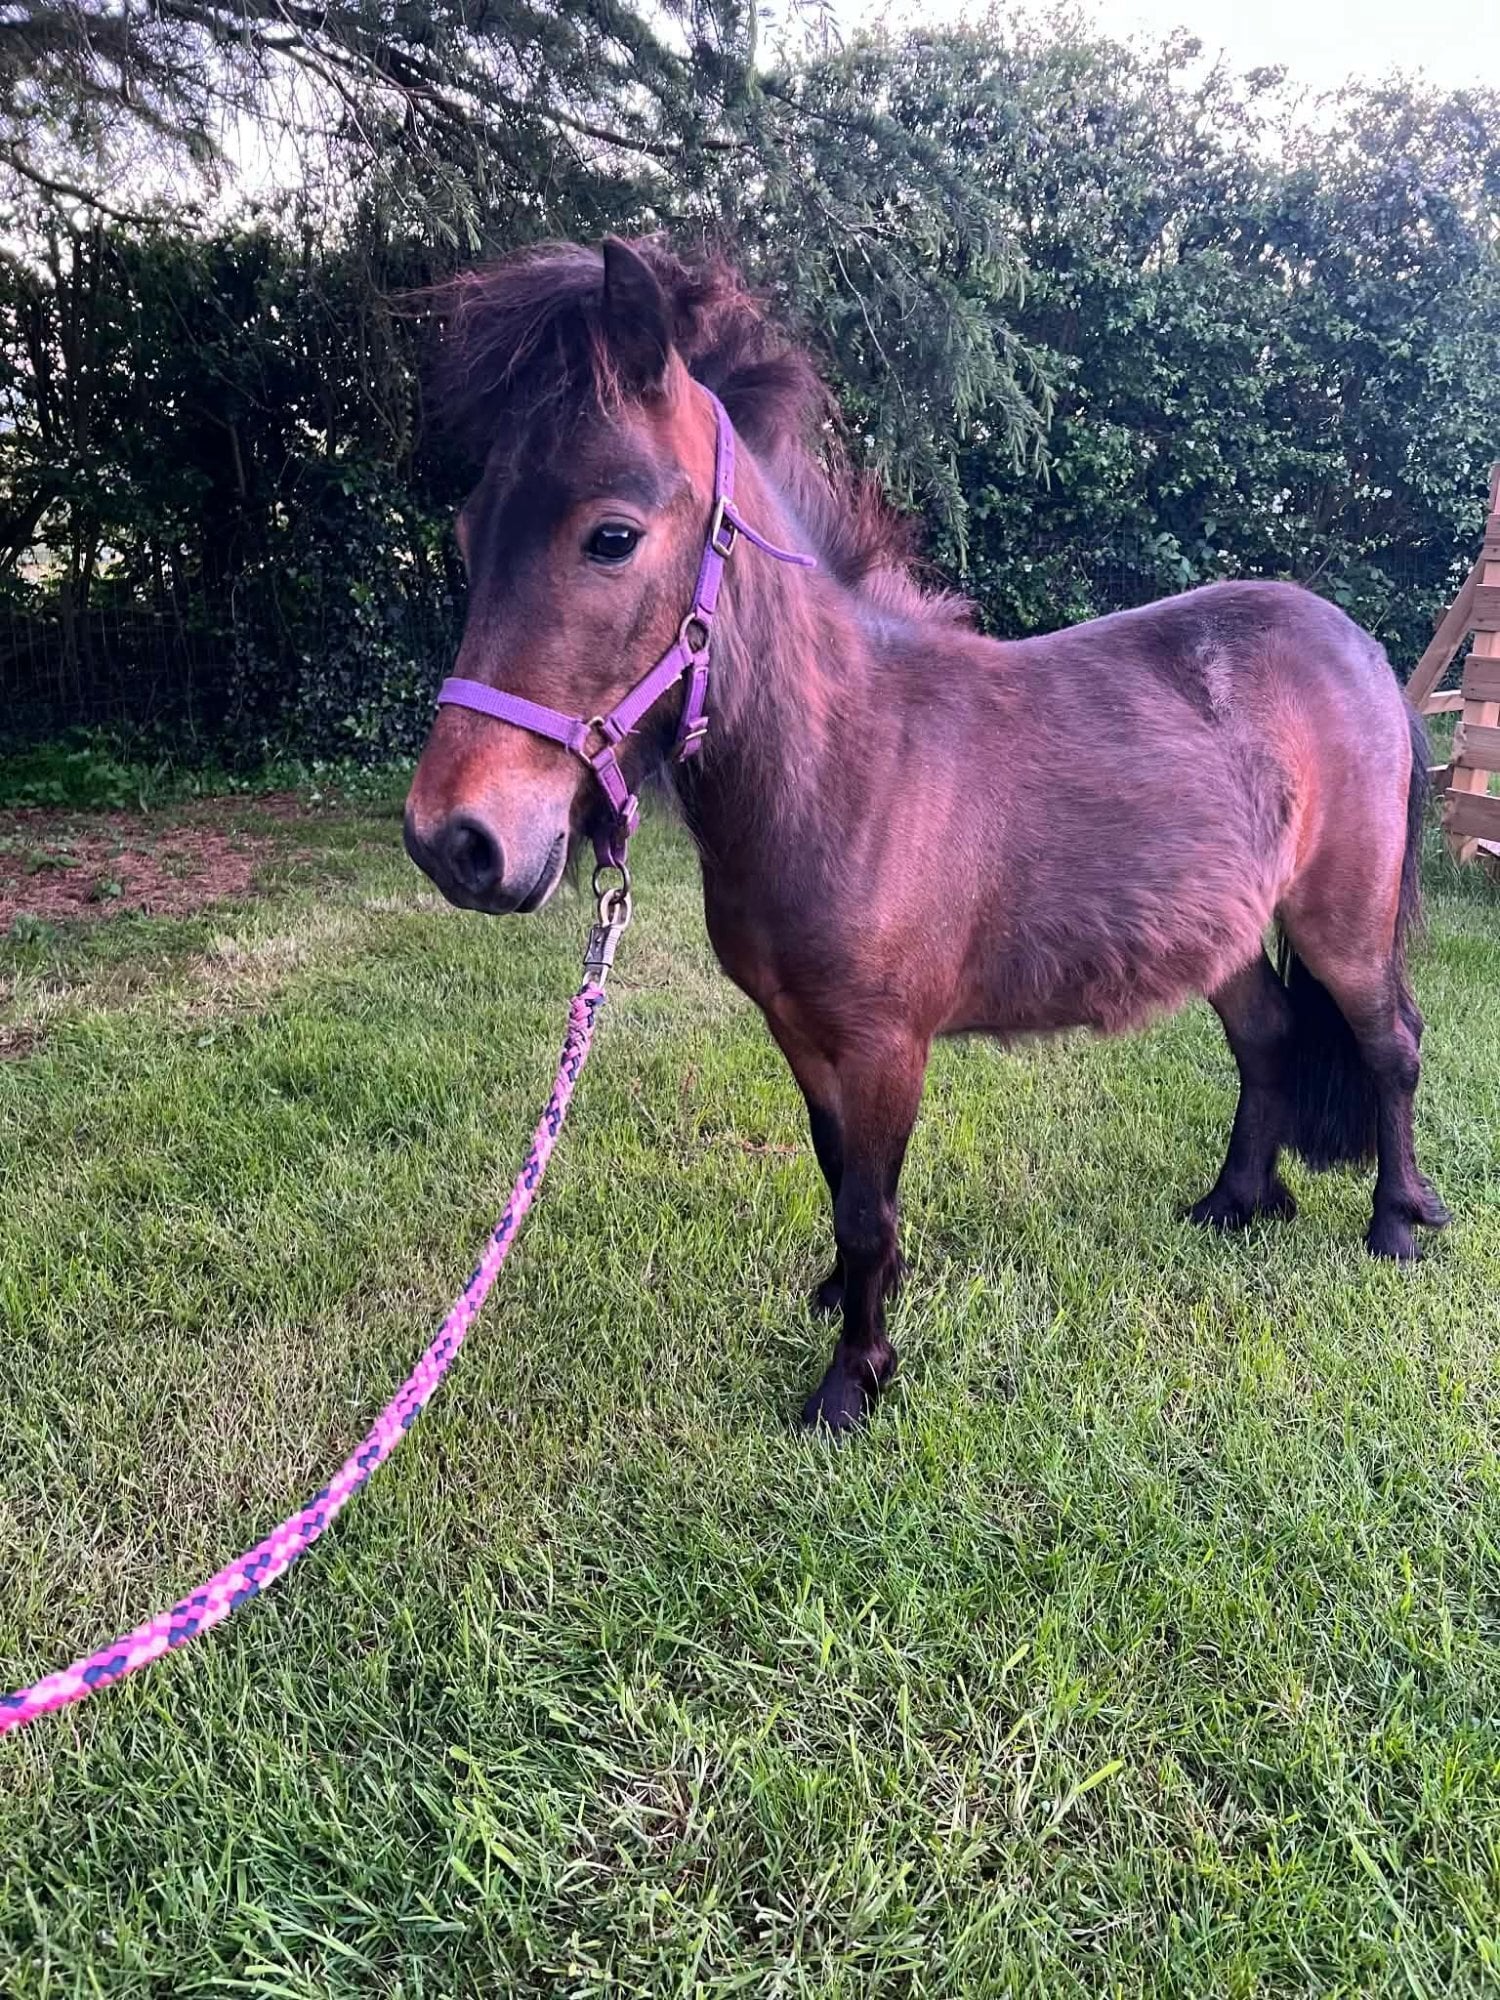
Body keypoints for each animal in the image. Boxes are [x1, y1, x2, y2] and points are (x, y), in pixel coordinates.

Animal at [404, 235, 1447, 1433]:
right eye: (469, 533)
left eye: (610, 537)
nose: (455, 840)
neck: (847, 768)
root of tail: (1362, 650)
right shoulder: (803, 1034)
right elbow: (842, 1179)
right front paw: (849, 1303)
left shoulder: (885, 1045)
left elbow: (867, 1203)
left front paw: (851, 1380)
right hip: (1222, 934)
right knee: (1269, 1037)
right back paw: (1234, 1201)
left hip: (1342, 918)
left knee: (1390, 1043)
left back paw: (1395, 1222)